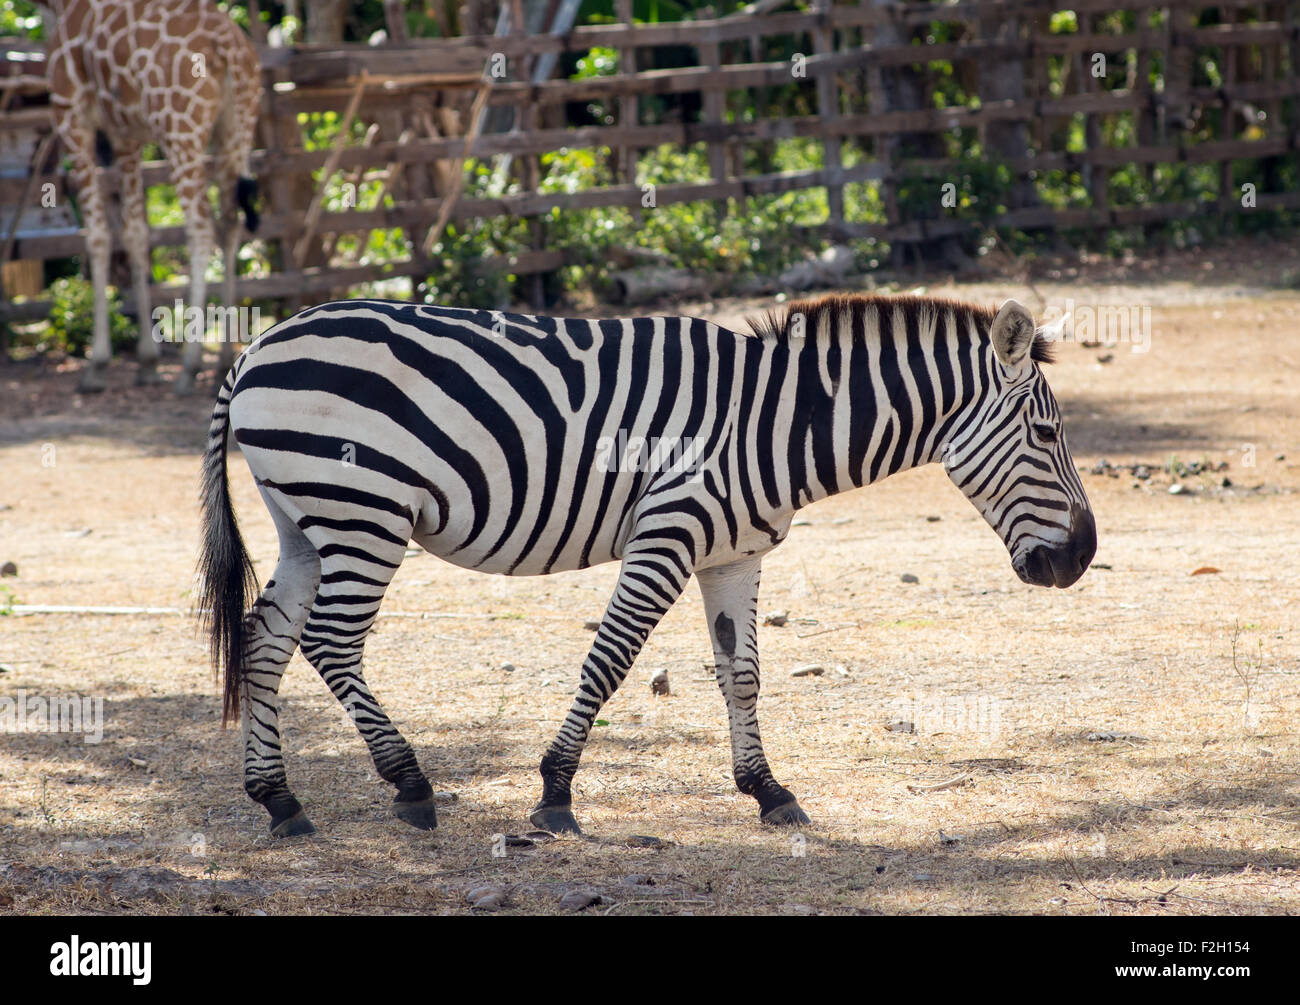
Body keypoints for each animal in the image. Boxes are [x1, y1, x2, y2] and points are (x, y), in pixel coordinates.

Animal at [198, 294, 1095, 837]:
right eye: (1047, 434)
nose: (1084, 556)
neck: (777, 422)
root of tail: (255, 347)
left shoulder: (734, 553)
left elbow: (742, 673)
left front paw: (768, 789)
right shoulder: (667, 531)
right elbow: (609, 660)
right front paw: (555, 790)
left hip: (306, 522)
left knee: (267, 638)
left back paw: (279, 800)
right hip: (364, 511)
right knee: (332, 642)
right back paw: (409, 783)